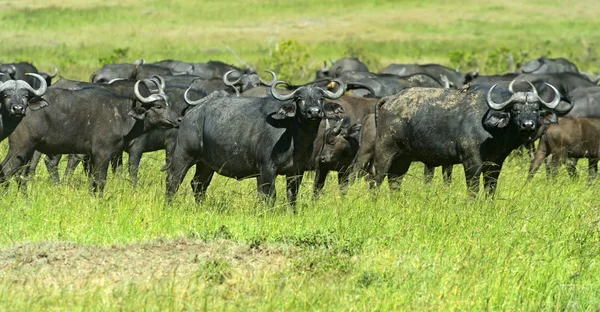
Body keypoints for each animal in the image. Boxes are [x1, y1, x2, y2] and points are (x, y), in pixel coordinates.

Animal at [0, 79, 179, 194]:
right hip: (21, 147)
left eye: (169, 104)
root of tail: (20, 107)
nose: (178, 119)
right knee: (8, 170)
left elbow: (92, 181)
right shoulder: (103, 153)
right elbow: (101, 180)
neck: (121, 114)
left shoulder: (94, 155)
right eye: (158, 106)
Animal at [166, 80, 344, 208]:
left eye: (321, 98)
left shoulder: (296, 172)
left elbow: (292, 196)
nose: (314, 112)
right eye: (299, 99)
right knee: (173, 180)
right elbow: (269, 196)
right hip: (183, 154)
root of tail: (191, 114)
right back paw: (169, 206)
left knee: (198, 185)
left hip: (206, 164)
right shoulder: (267, 169)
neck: (294, 138)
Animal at [376, 80, 568, 195]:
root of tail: (390, 99)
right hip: (384, 153)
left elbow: (490, 190)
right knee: (376, 179)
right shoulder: (471, 163)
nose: (528, 125)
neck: (494, 132)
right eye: (515, 110)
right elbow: (473, 190)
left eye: (536, 109)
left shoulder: (495, 165)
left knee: (394, 182)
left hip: (403, 159)